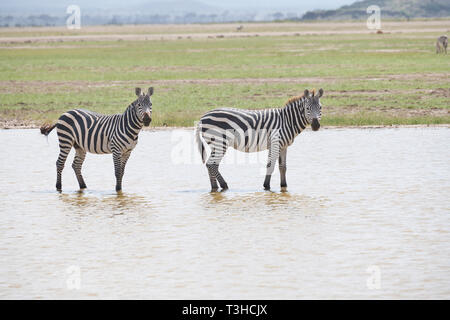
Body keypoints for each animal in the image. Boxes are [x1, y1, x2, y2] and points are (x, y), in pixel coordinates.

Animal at [196, 87, 324, 191]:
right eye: (307, 108)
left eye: (320, 107)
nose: (316, 126)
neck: (286, 120)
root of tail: (202, 118)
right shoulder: (275, 143)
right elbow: (270, 166)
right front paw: (266, 186)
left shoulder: (283, 146)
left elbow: (283, 167)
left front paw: (284, 186)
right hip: (220, 142)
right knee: (212, 164)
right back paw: (222, 186)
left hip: (216, 144)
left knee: (210, 165)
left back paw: (216, 187)